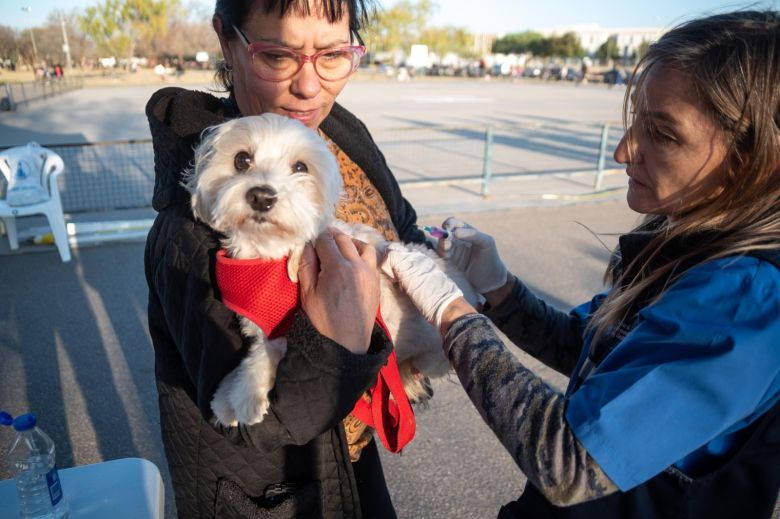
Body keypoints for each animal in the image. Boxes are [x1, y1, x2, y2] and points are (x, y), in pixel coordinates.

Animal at [184, 116, 476, 428]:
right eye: (241, 159)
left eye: (300, 167)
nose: (261, 196)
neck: (270, 256)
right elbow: (255, 351)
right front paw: (225, 396)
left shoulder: (291, 331)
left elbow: (265, 355)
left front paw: (245, 396)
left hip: (432, 356)